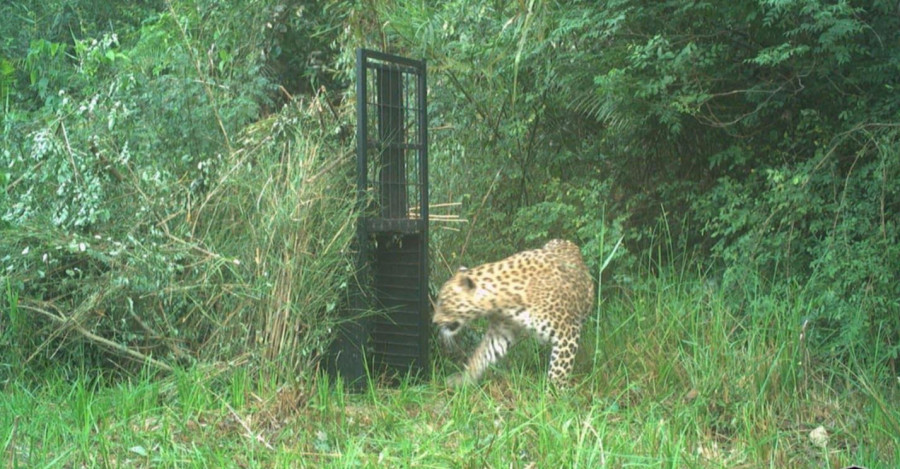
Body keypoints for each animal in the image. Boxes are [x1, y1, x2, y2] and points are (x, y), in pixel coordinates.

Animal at [433, 239, 595, 386]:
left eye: (443, 301)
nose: (434, 321)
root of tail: (566, 241)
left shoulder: (567, 333)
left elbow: (558, 372)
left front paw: (554, 395)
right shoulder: (502, 330)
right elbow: (481, 355)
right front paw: (464, 380)